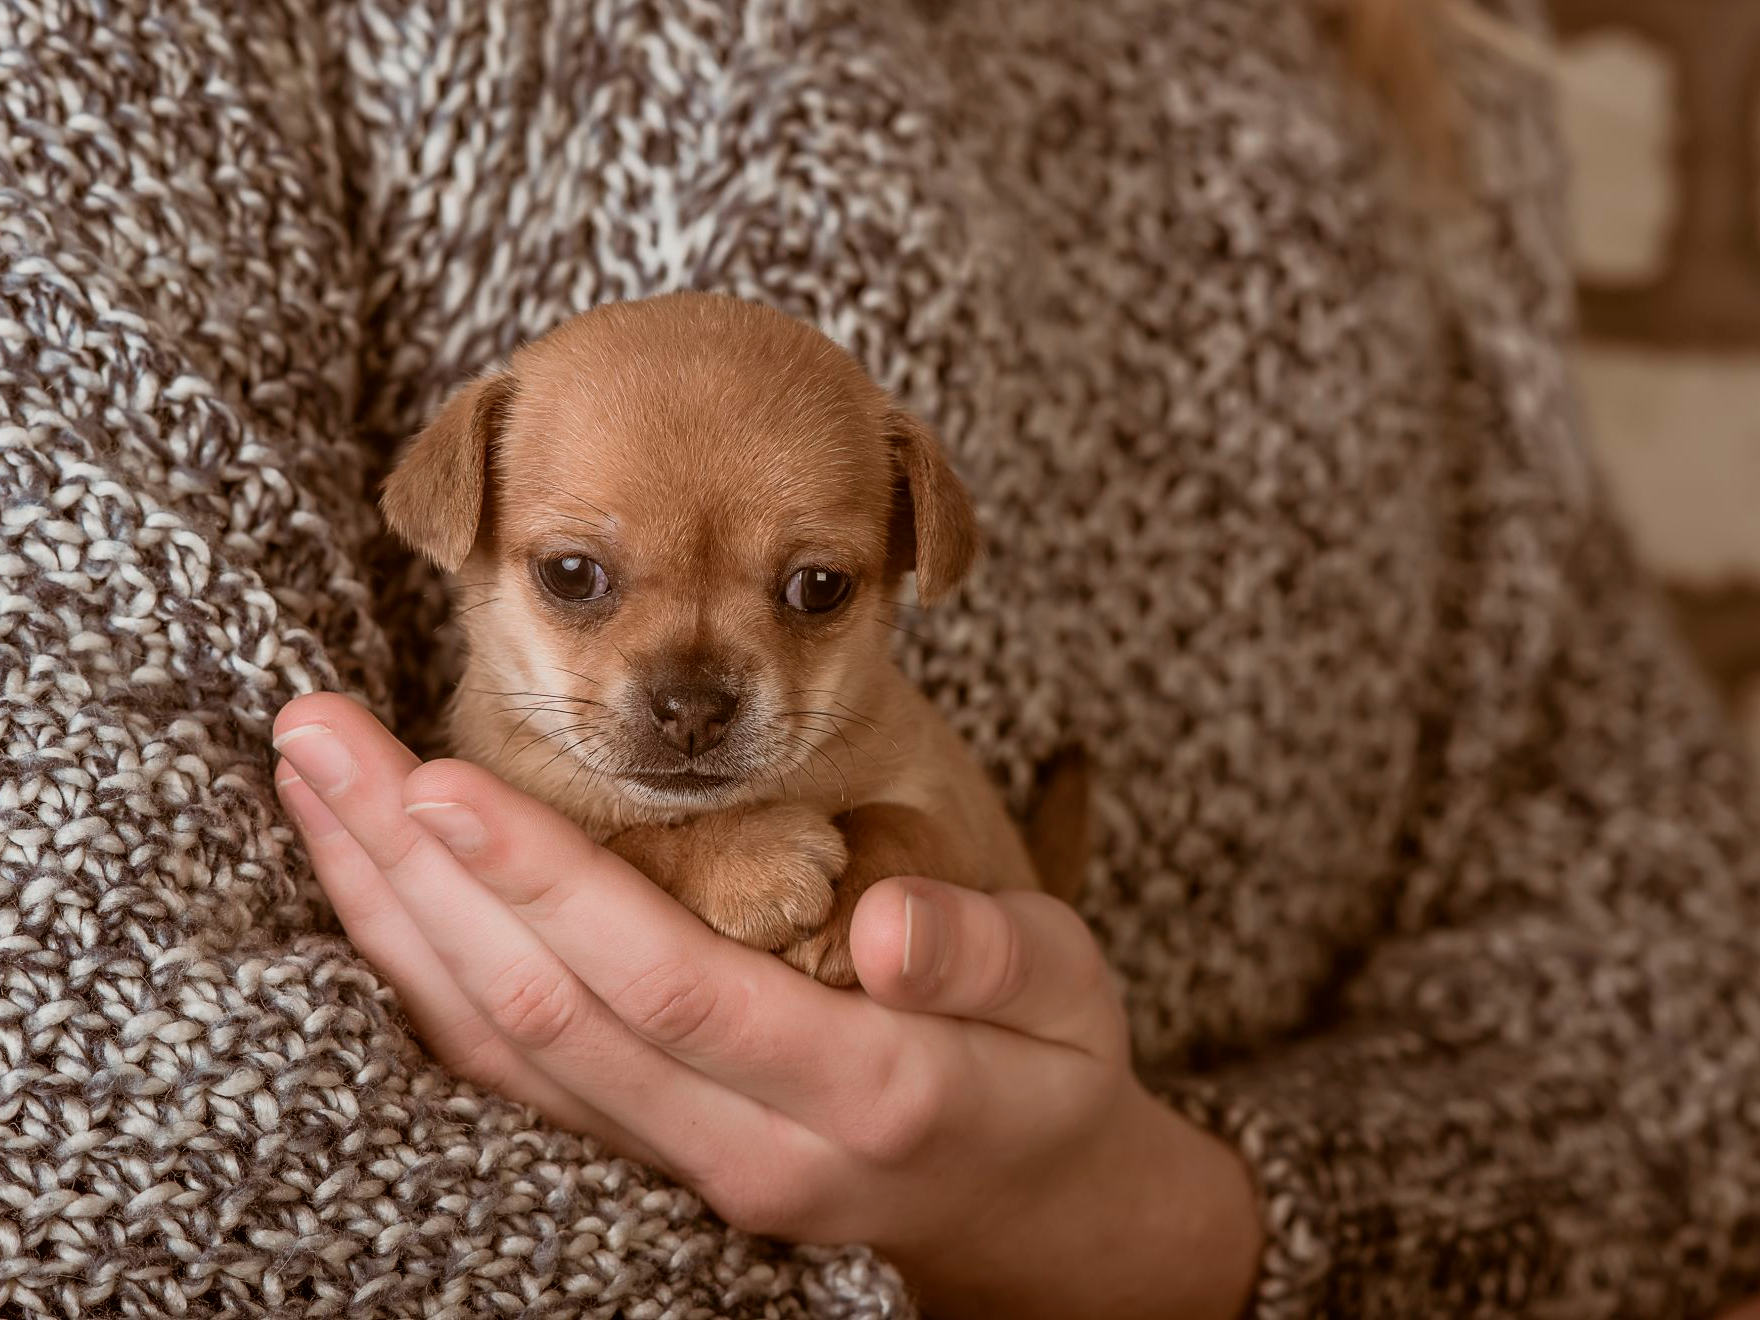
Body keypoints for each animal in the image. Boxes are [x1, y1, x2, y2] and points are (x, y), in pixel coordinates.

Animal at [385, 293, 1063, 985]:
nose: (694, 709)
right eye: (570, 573)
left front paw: (859, 894)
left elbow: (906, 824)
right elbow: (635, 842)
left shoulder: (971, 824)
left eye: (820, 586)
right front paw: (746, 858)